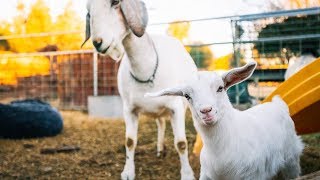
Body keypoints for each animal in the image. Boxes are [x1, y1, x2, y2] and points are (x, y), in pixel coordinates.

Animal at [82, 0, 198, 179]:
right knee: (160, 123)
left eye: (115, 2)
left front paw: (187, 174)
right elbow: (130, 141)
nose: (97, 42)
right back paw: (160, 149)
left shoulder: (176, 107)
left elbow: (181, 143)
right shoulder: (129, 109)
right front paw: (128, 172)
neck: (145, 70)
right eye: (88, 11)